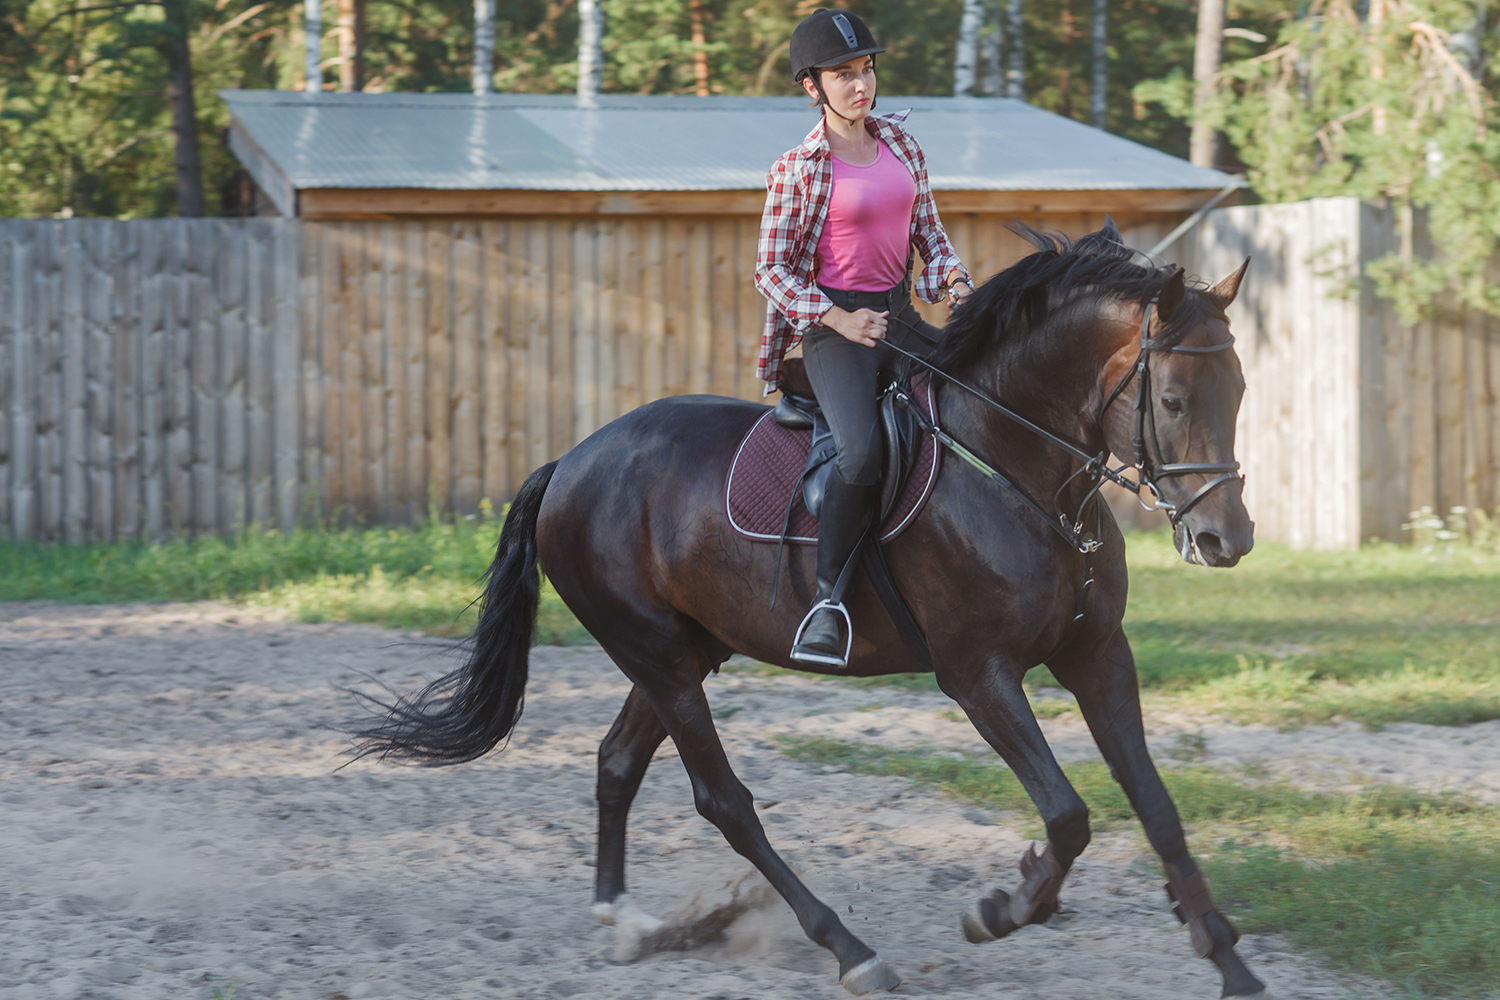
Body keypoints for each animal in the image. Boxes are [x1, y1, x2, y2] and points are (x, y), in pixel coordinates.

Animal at [360, 226, 1266, 1000]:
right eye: (1173, 400)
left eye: (1239, 391)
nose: (1227, 539)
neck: (1015, 469)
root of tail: (572, 462)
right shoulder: (978, 674)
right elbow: (1069, 816)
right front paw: (1003, 909)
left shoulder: (1098, 655)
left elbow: (1158, 809)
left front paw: (1227, 960)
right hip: (654, 654)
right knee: (724, 803)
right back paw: (850, 950)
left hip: (679, 653)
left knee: (617, 762)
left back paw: (625, 921)